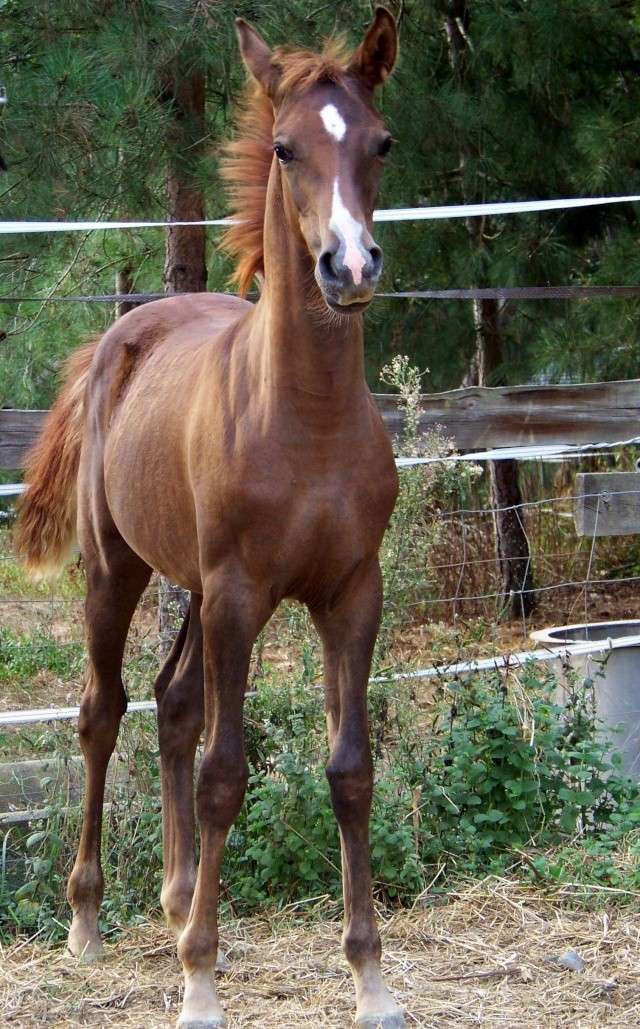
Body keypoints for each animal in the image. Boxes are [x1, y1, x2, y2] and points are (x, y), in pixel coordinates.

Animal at [17, 10, 405, 1029]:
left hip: (189, 584)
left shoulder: (351, 594)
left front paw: (371, 978)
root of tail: (116, 339)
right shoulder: (240, 595)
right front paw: (200, 984)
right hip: (119, 569)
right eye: (284, 147)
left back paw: (182, 893)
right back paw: (88, 920)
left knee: (173, 702)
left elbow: (350, 768)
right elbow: (225, 774)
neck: (305, 418)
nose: (349, 266)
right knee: (104, 710)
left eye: (381, 142)